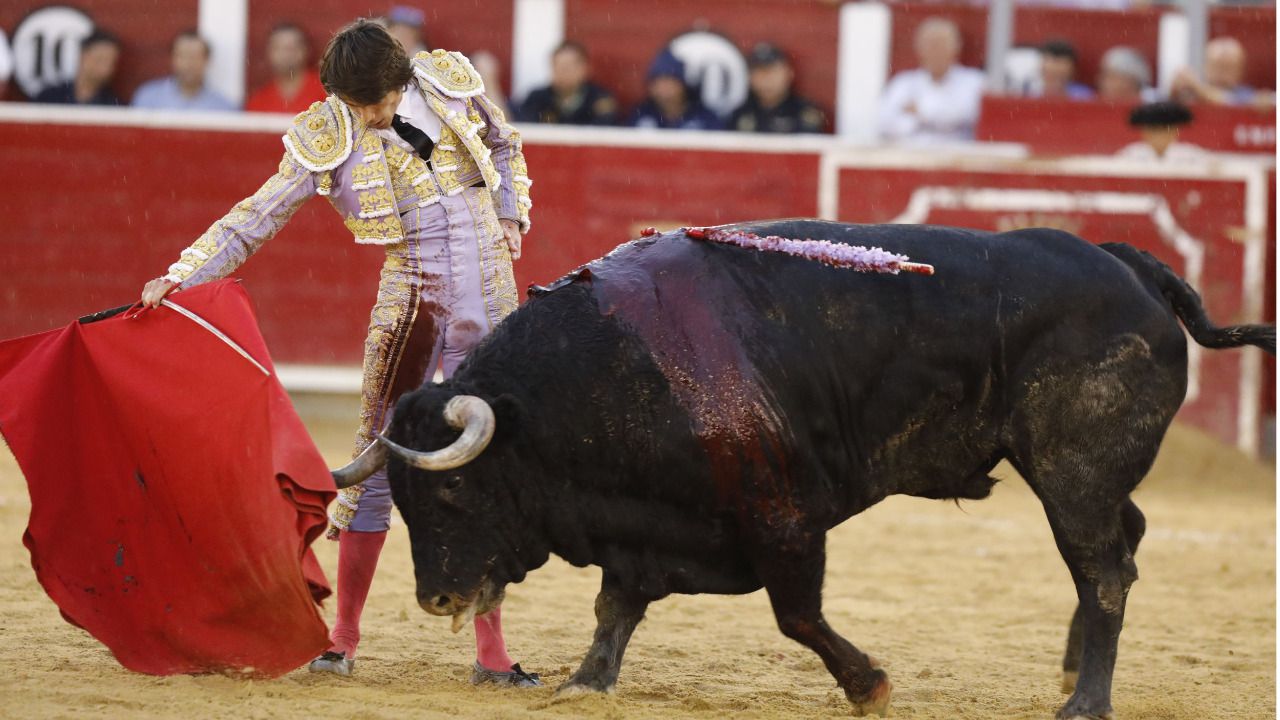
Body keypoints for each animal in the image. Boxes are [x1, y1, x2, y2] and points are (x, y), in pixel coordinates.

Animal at [371, 221, 1269, 712]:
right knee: (1125, 545)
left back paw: (1086, 702)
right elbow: (614, 605)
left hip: (1072, 473)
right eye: (405, 502)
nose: (434, 599)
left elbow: (796, 616)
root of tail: (1125, 264)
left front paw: (869, 686)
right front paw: (588, 680)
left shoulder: (783, 518)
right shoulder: (644, 525)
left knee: (1104, 571)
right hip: (1084, 477)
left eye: (453, 490)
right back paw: (1074, 669)